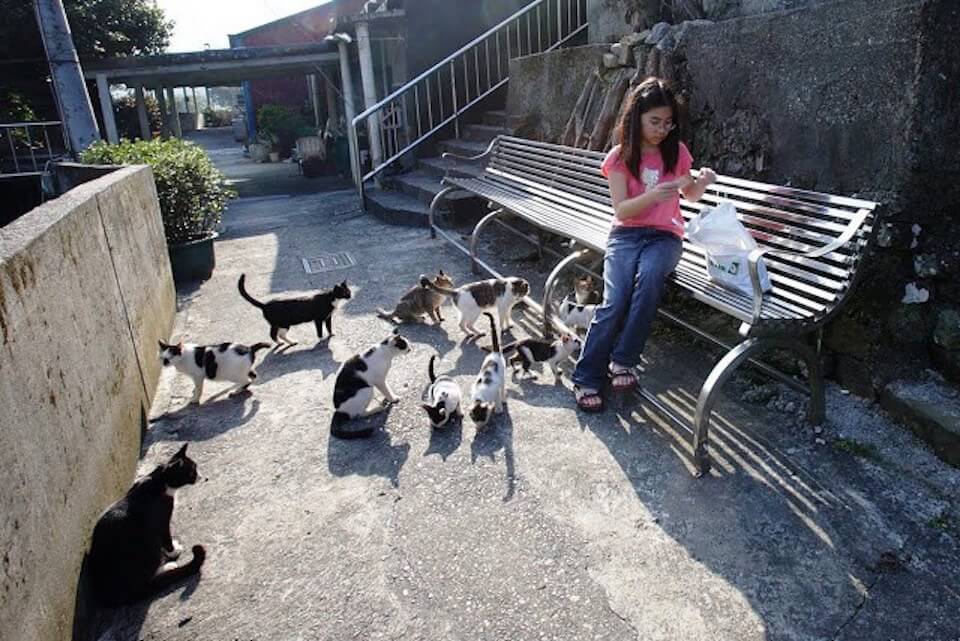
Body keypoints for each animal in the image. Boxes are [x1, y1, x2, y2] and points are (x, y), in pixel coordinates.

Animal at [86, 444, 206, 604]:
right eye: (192, 471)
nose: (200, 476)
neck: (159, 480)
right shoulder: (161, 519)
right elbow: (166, 537)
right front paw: (174, 550)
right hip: (148, 544)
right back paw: (168, 567)